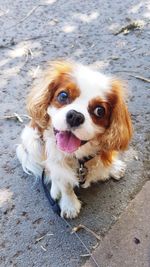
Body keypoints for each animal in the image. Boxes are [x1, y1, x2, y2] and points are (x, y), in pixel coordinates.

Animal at [16, 60, 132, 220]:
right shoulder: (56, 161)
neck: (79, 157)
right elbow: (64, 183)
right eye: (63, 95)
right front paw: (69, 205)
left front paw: (112, 167)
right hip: (31, 140)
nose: (75, 116)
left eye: (100, 110)